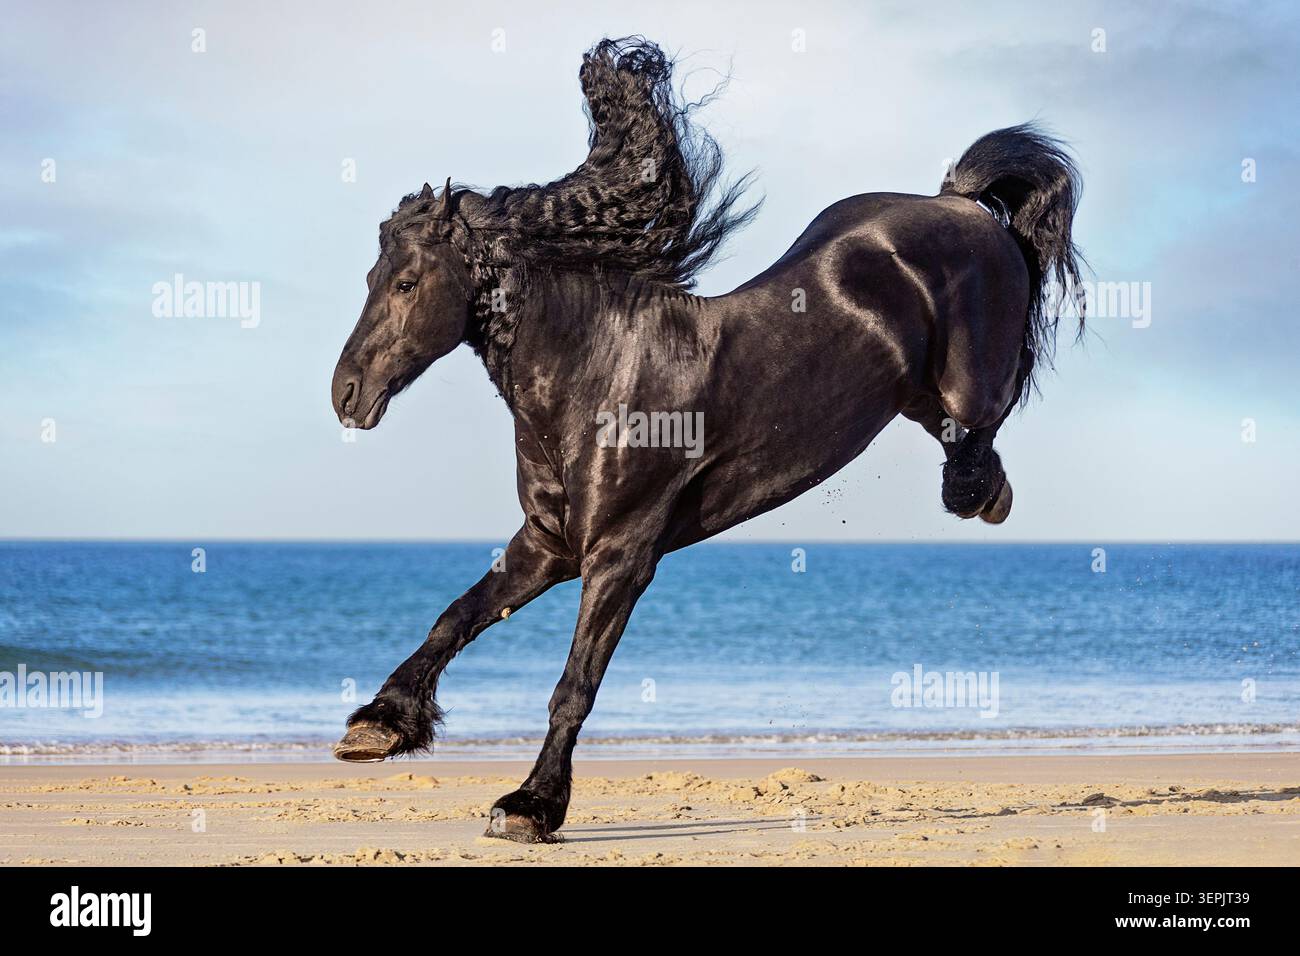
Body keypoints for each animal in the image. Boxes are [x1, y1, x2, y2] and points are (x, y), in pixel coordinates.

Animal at [329, 37, 1085, 843]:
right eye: (373, 274)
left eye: (406, 283)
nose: (347, 394)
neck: (596, 371)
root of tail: (957, 201)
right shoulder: (549, 543)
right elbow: (457, 616)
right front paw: (377, 725)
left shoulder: (621, 555)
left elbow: (574, 685)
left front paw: (530, 806)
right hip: (912, 398)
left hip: (966, 382)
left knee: (982, 425)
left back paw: (979, 493)